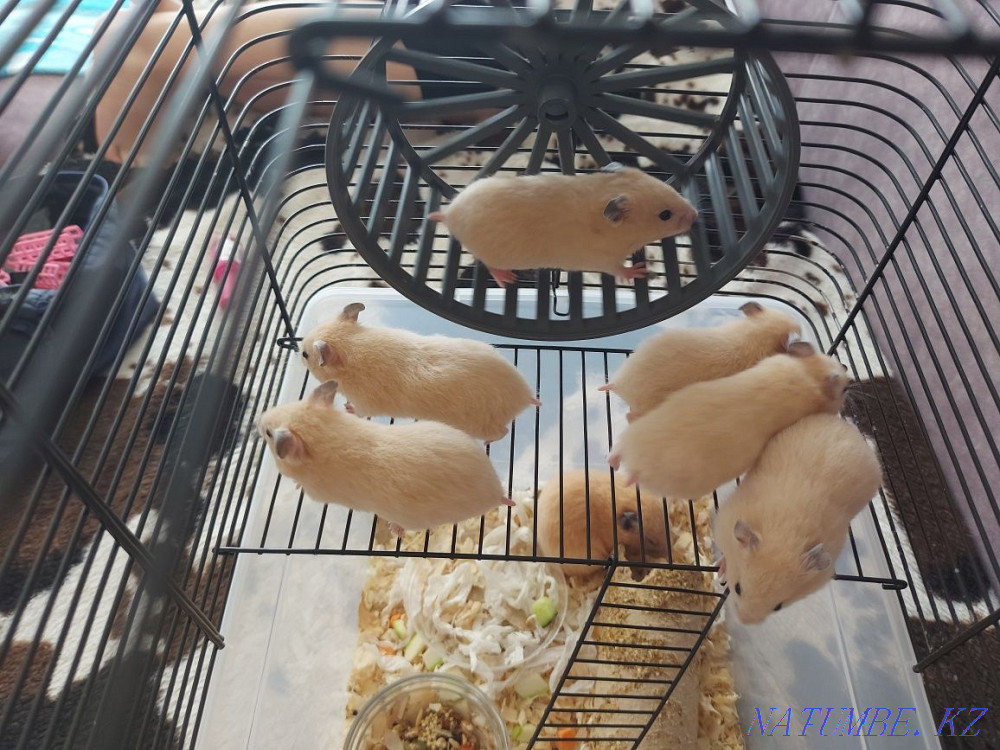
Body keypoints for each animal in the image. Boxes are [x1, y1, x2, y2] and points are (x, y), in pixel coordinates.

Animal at [256, 381, 512, 536]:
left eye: (268, 433)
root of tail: (496, 491)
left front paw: (296, 484)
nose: (258, 418)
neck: (325, 434)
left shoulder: (318, 494)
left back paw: (394, 529)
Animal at [299, 302, 539, 443]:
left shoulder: (365, 403)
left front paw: (347, 408)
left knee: (502, 433)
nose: (296, 348)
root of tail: (525, 396)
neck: (352, 347)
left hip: (479, 426)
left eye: (305, 354)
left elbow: (357, 411)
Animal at [428, 162, 698, 286]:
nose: (696, 215)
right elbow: (619, 269)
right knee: (489, 264)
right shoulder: (603, 260)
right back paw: (507, 279)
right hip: (493, 255)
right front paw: (640, 271)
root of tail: (451, 215)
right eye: (665, 215)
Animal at [608, 341, 849, 500]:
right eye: (845, 388)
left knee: (618, 446)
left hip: (635, 432)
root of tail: (637, 463)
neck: (808, 374)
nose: (847, 369)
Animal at [714, 414, 883, 624]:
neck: (785, 533)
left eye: (778, 607)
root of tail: (852, 431)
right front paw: (721, 569)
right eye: (737, 588)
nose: (744, 621)